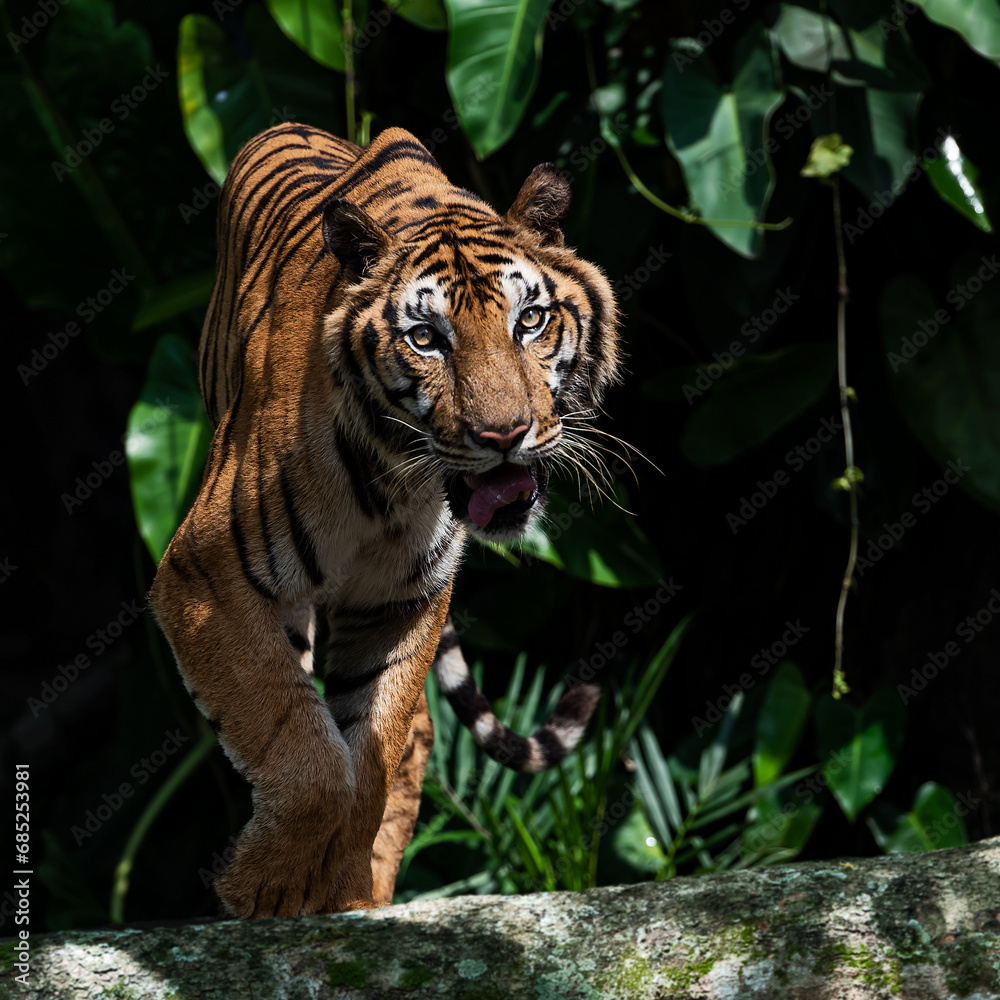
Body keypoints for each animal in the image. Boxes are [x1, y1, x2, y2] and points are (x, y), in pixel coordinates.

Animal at [150, 122, 620, 919]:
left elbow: (371, 752)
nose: (505, 434)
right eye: (426, 338)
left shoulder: (403, 601)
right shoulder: (206, 576)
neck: (395, 486)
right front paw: (267, 887)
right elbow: (301, 746)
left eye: (529, 320)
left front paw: (338, 888)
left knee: (419, 735)